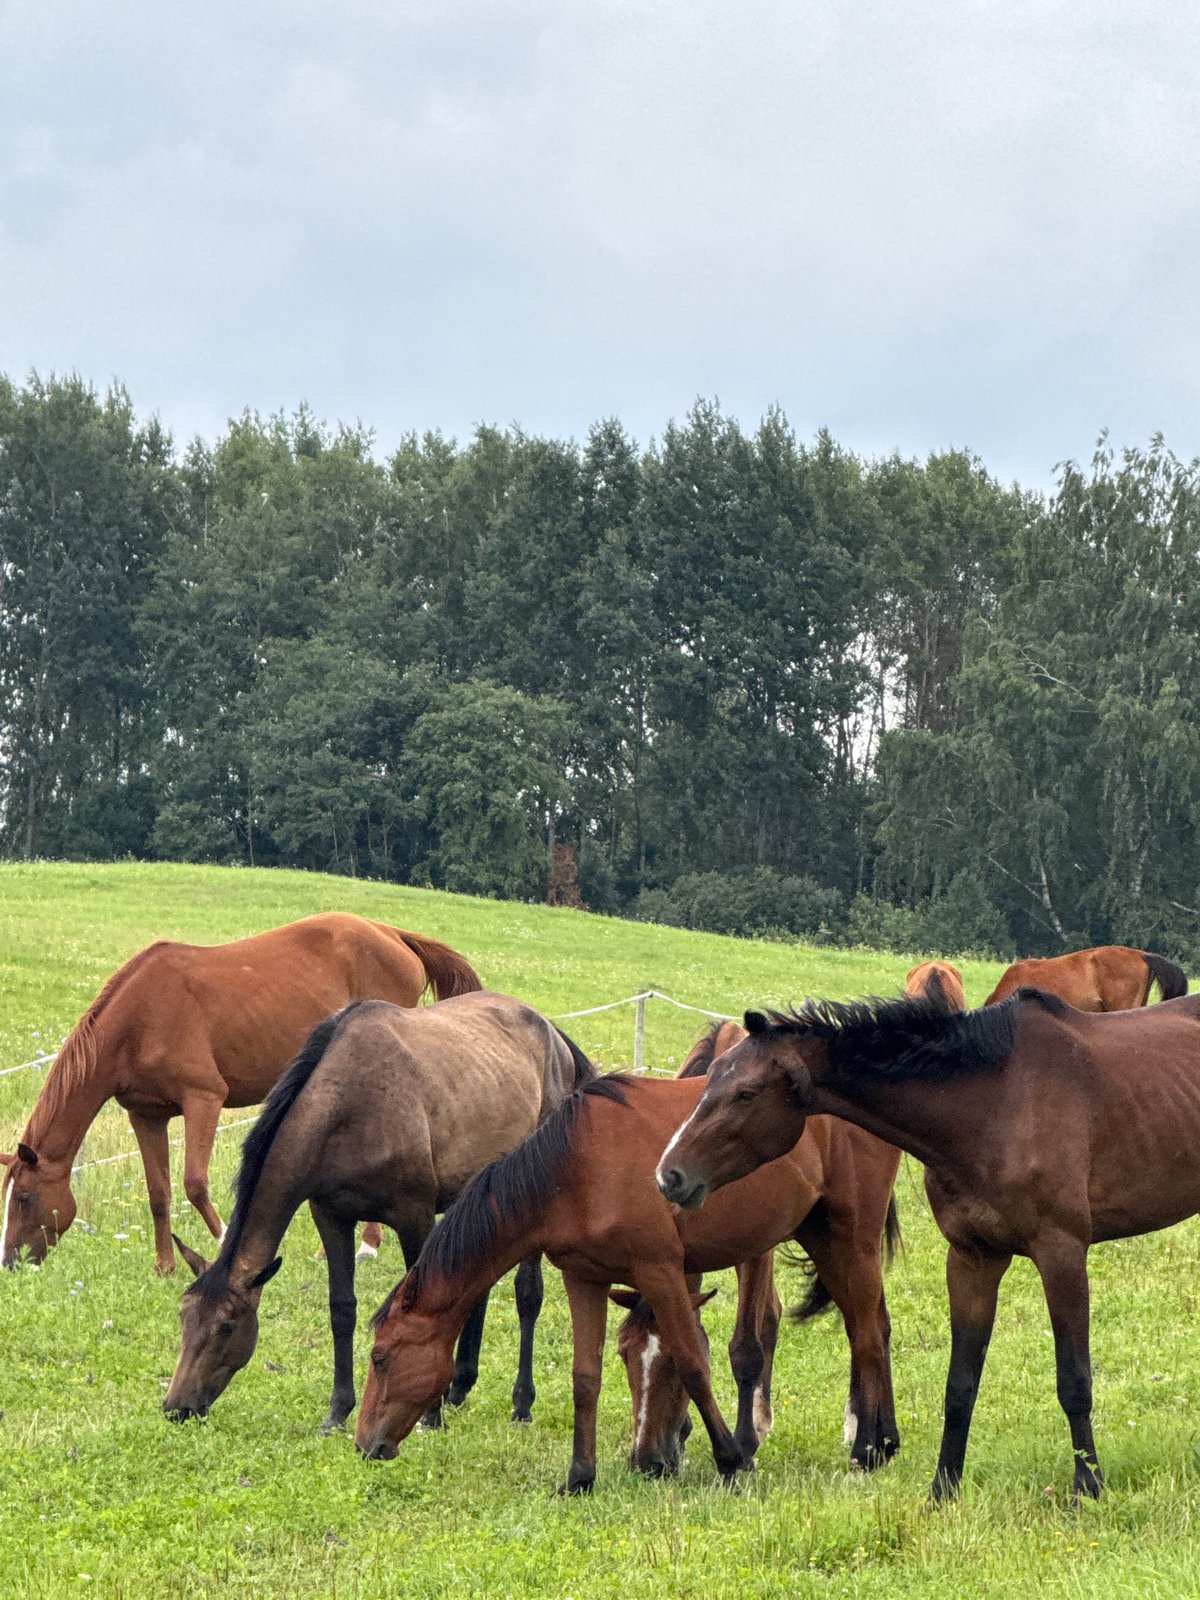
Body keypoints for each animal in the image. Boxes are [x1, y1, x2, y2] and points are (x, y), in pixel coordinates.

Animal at [1, 913, 479, 1273]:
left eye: (23, 1198)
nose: (10, 1262)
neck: (139, 1019)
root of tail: (392, 933)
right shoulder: (146, 1115)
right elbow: (159, 1194)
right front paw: (164, 1267)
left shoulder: (204, 1100)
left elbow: (195, 1184)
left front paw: (222, 1246)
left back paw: (367, 1246)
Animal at [164, 991, 589, 1433]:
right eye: (183, 1317)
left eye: (226, 1326)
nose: (176, 1406)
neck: (350, 1109)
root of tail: (555, 1036)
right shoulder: (331, 1216)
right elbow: (342, 1309)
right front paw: (338, 1411)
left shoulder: (414, 1216)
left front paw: (429, 1415)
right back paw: (460, 1387)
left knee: (528, 1294)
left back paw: (521, 1403)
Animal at [356, 1068, 901, 1492]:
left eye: (381, 1358)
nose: (364, 1444)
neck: (577, 1166)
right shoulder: (583, 1278)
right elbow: (584, 1378)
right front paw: (580, 1476)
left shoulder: (659, 1270)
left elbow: (693, 1363)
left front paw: (731, 1461)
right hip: (821, 1235)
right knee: (870, 1325)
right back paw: (884, 1439)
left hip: (854, 1237)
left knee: (868, 1334)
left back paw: (867, 1448)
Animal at [655, 988, 1200, 1499]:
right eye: (710, 1080)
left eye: (745, 1093)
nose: (669, 1175)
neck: (994, 1102)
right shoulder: (972, 1259)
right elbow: (959, 1386)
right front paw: (943, 1487)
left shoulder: (1061, 1254)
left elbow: (1074, 1382)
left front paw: (1087, 1486)